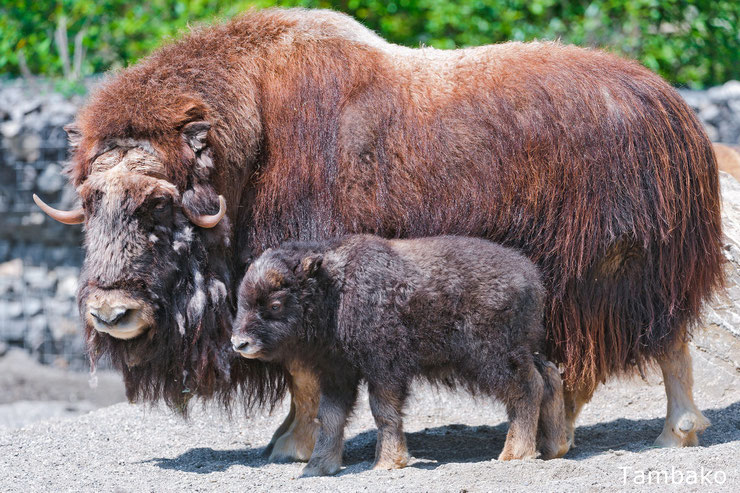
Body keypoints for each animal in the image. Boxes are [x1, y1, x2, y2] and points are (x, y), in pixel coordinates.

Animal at [231, 235, 568, 476]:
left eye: (275, 303)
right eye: (242, 299)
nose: (239, 343)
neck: (336, 290)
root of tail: (531, 279)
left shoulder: (384, 369)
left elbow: (383, 411)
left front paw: (387, 462)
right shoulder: (337, 374)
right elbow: (330, 417)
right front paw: (318, 467)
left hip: (493, 359)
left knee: (527, 388)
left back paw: (514, 454)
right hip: (522, 351)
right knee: (549, 375)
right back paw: (555, 447)